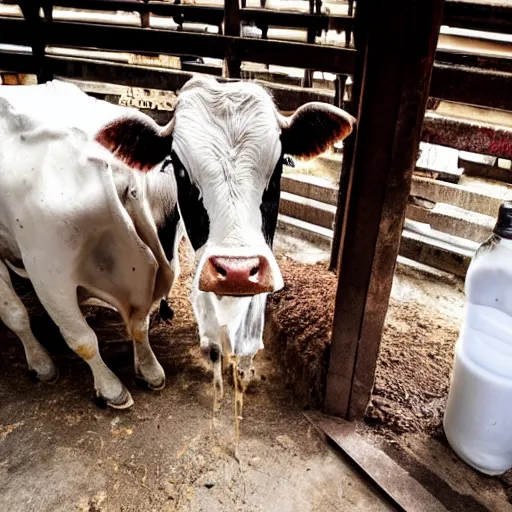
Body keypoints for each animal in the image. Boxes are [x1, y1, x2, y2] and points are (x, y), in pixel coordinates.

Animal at [0, 77, 354, 408]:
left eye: (279, 165)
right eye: (180, 169)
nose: (237, 271)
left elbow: (139, 323)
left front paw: (150, 371)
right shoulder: (49, 275)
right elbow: (73, 335)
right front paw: (106, 387)